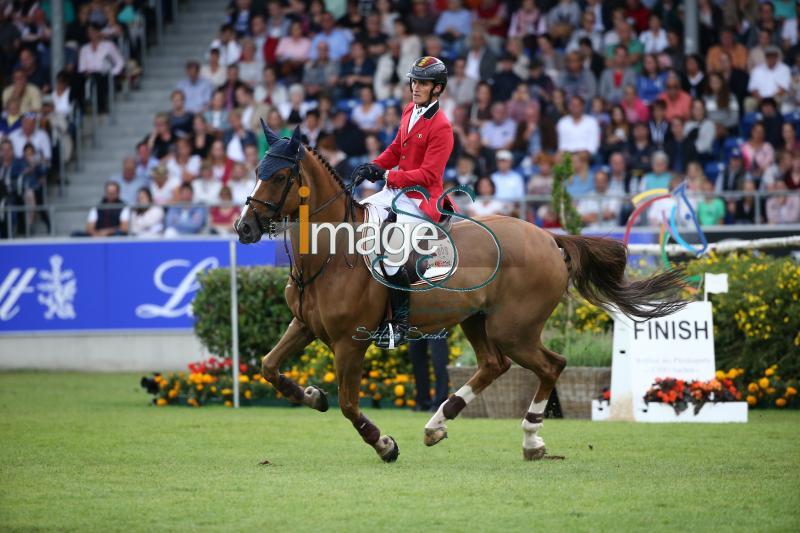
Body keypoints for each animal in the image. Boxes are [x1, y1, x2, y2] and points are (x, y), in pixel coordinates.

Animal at [236, 125, 688, 462]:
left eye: (280, 176)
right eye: (257, 169)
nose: (244, 228)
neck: (333, 252)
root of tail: (548, 237)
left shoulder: (350, 341)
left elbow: (349, 405)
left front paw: (384, 444)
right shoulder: (304, 325)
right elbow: (269, 367)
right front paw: (312, 396)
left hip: (514, 329)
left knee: (551, 365)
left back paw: (531, 439)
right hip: (477, 319)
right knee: (494, 364)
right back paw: (439, 423)